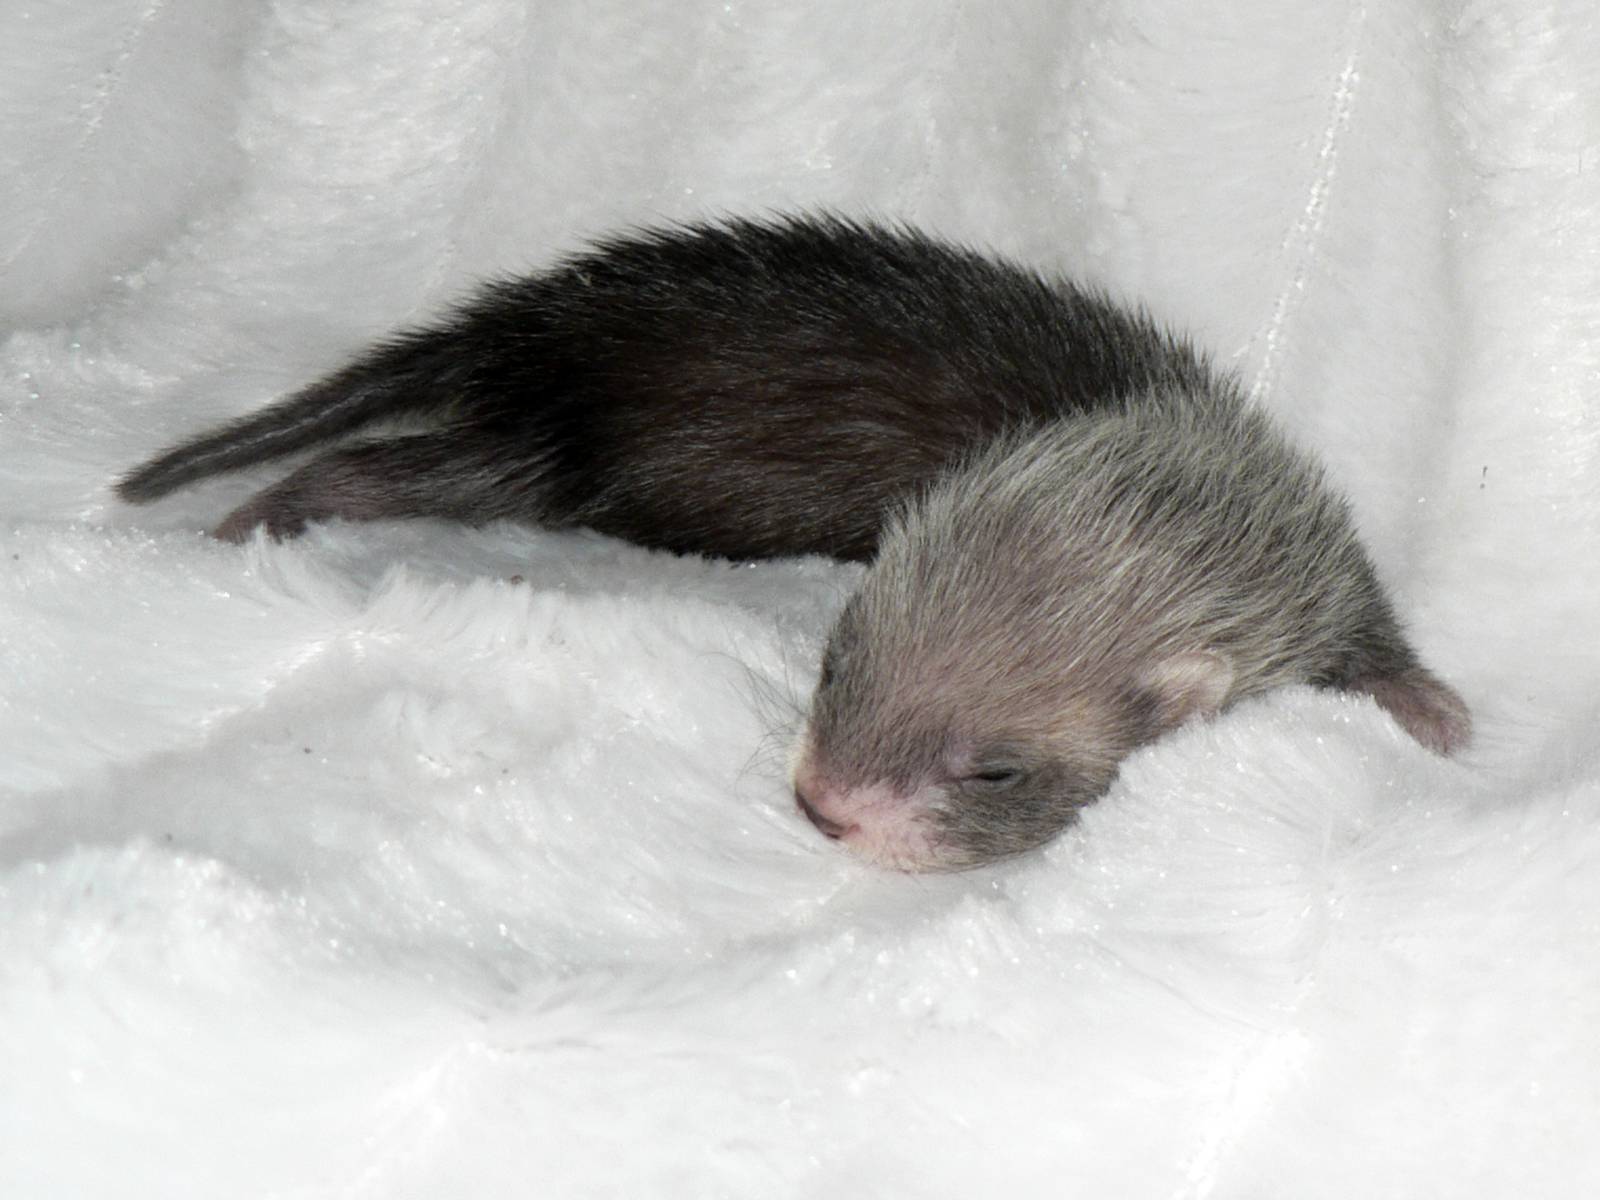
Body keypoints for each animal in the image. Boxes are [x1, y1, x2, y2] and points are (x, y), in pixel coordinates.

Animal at [116, 214, 1471, 871]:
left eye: (996, 769)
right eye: (836, 658)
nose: (827, 809)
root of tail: (540, 318)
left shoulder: (1323, 568)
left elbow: (1376, 638)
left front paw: (1430, 710)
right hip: (547, 462)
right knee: (368, 464)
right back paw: (254, 516)